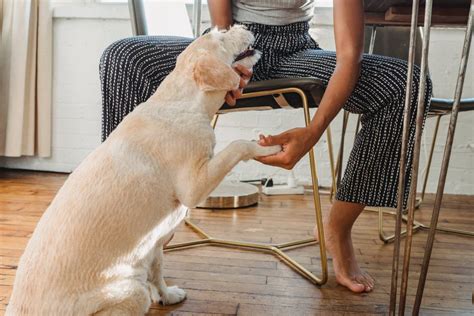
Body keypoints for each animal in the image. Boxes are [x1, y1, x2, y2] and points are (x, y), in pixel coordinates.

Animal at [6, 25, 282, 316]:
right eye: (221, 36)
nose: (244, 26)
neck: (184, 102)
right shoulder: (194, 187)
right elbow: (238, 145)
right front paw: (266, 148)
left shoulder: (155, 243)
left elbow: (158, 271)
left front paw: (167, 295)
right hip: (132, 293)